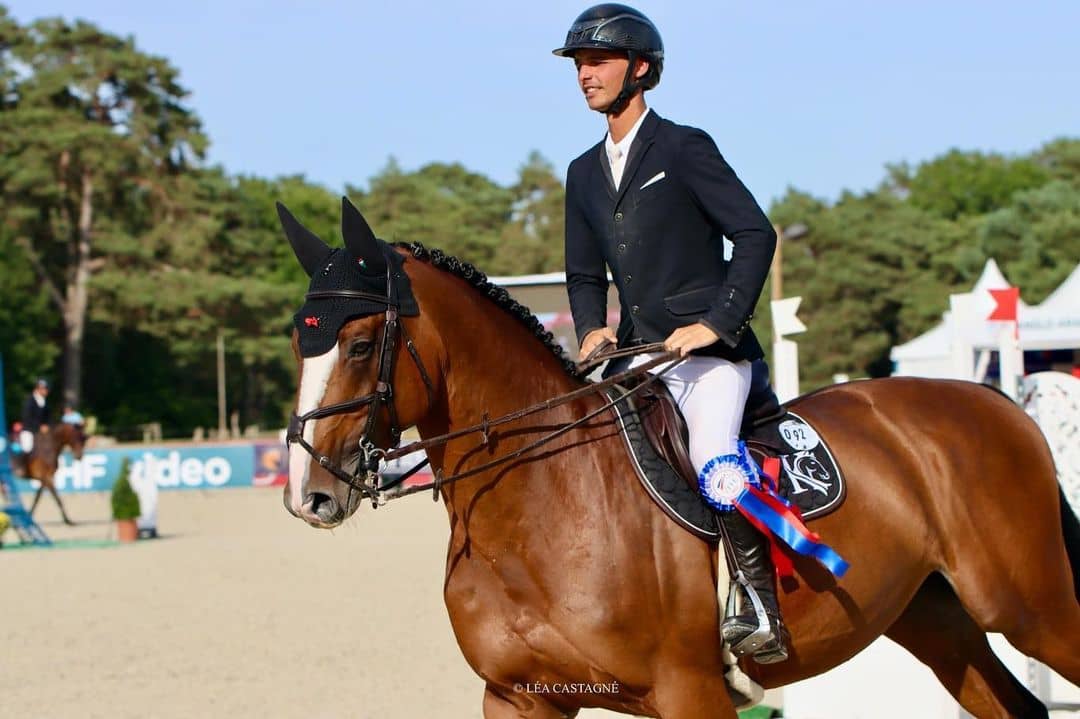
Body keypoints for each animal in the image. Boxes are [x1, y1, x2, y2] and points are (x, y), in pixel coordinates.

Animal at [280, 199, 1080, 716]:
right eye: (298, 340)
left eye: (359, 345)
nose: (309, 495)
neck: (542, 507)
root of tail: (997, 401)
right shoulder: (516, 697)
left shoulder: (688, 691)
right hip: (936, 618)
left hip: (1030, 608)